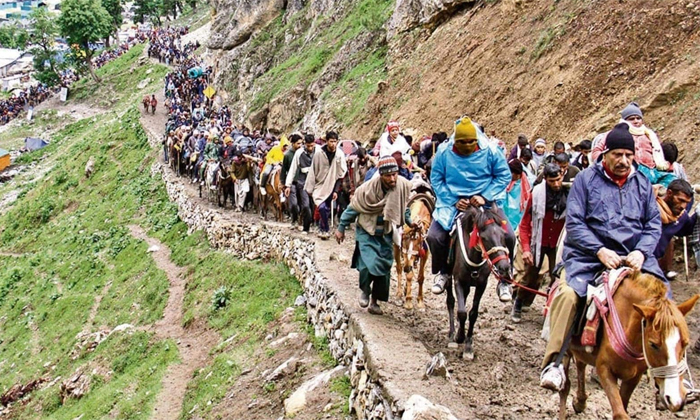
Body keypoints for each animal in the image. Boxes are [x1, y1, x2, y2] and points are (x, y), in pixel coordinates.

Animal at [556, 272, 696, 420]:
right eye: (653, 344)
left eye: (685, 343)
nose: (675, 400)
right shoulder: (604, 369)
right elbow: (620, 413)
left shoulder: (634, 377)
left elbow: (623, 405)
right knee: (565, 385)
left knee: (580, 363)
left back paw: (580, 402)